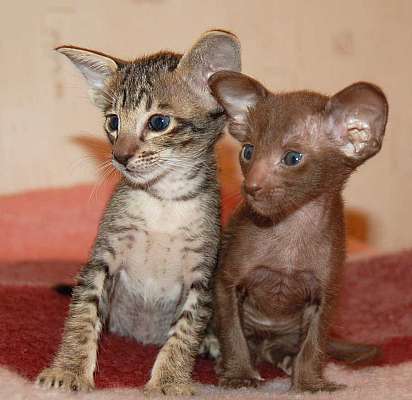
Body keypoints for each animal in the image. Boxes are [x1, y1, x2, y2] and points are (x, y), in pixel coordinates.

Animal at [36, 29, 241, 396]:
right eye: (113, 122)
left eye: (159, 122)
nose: (120, 156)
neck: (164, 199)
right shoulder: (101, 258)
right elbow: (82, 313)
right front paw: (69, 369)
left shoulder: (202, 275)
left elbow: (186, 330)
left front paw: (170, 380)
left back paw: (213, 342)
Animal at [208, 71, 388, 390]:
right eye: (248, 151)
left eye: (292, 158)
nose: (251, 187)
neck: (291, 230)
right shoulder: (227, 283)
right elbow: (232, 335)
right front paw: (239, 375)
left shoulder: (326, 295)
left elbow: (315, 345)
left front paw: (309, 384)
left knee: (287, 346)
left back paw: (288, 361)